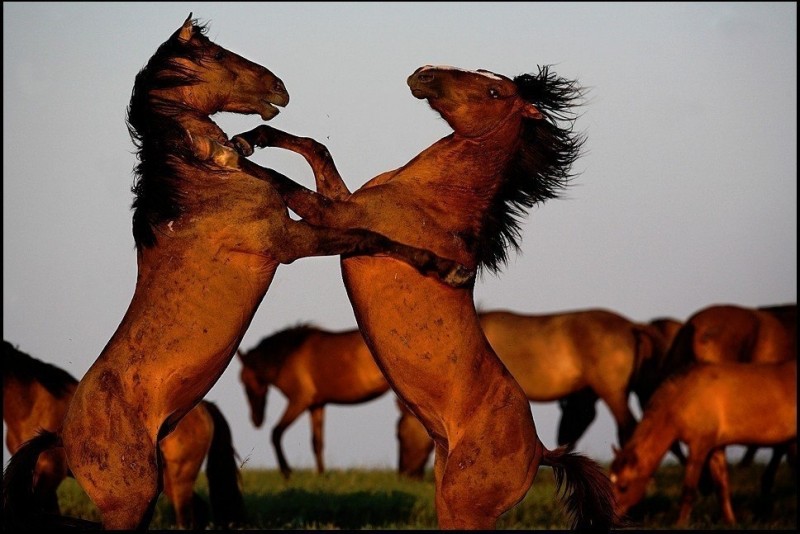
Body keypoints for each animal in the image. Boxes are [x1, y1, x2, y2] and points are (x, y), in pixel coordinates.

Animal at [231, 65, 620, 528]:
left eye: (495, 91)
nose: (425, 74)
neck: (431, 201)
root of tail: (542, 451)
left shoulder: (338, 214)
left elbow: (284, 183)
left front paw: (233, 152)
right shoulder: (344, 202)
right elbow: (315, 148)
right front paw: (250, 136)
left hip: (461, 505)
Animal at [608, 360, 796, 528]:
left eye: (623, 487)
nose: (610, 518)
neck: (686, 395)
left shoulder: (699, 446)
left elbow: (689, 489)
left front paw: (680, 524)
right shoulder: (716, 448)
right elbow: (721, 486)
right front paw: (730, 522)